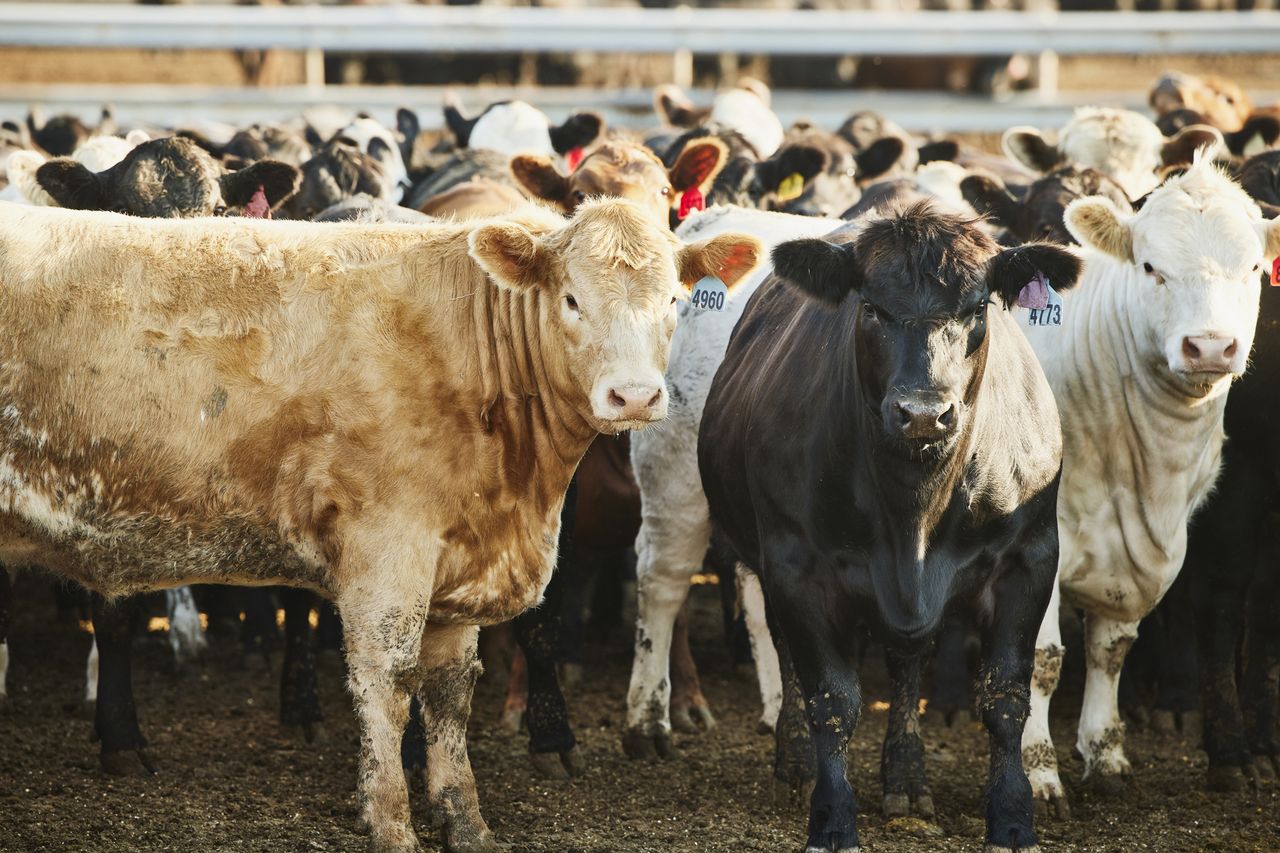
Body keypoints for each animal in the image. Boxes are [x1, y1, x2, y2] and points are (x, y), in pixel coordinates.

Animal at [0, 198, 760, 852]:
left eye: (673, 300)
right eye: (572, 299)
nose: (634, 396)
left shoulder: (458, 564)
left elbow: (450, 693)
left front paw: (466, 822)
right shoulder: (388, 550)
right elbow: (388, 685)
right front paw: (391, 822)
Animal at [698, 202, 1080, 853]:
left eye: (978, 308)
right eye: (872, 307)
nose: (923, 413)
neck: (913, 517)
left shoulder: (1028, 559)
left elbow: (1004, 695)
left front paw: (1012, 816)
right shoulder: (796, 567)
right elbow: (832, 700)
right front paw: (831, 819)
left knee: (908, 664)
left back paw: (906, 778)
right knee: (788, 655)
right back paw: (796, 766)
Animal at [1019, 159, 1276, 817]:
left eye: (1253, 269)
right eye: (1151, 267)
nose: (1210, 346)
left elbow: (1112, 647)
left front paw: (1105, 756)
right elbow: (1042, 661)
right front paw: (1038, 776)